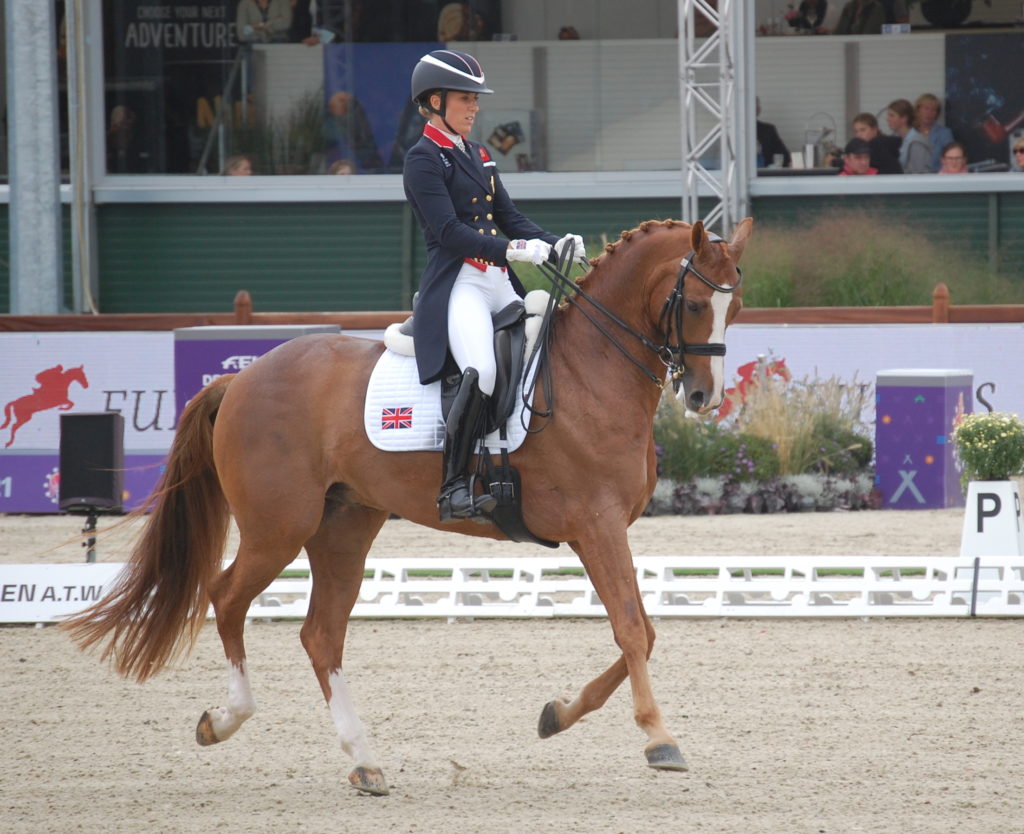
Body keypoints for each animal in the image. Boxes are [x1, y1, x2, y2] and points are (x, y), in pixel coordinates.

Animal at [64, 215, 753, 795]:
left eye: (737, 307)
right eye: (695, 304)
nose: (703, 396)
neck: (591, 370)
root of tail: (240, 378)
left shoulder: (596, 532)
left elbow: (643, 630)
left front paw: (557, 715)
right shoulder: (598, 524)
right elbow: (634, 629)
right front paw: (659, 739)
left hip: (344, 526)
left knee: (321, 633)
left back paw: (364, 761)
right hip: (278, 527)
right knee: (227, 597)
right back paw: (226, 719)